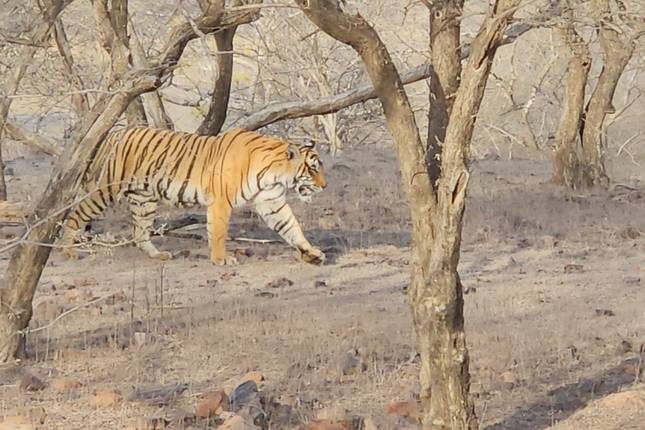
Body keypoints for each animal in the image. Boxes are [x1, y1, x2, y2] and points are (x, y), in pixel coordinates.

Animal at [59, 127, 327, 266]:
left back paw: (157, 255)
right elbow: (218, 232)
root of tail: (116, 131)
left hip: (144, 199)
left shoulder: (270, 201)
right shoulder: (221, 201)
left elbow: (291, 226)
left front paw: (311, 252)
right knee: (76, 214)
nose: (325, 186)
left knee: (139, 232)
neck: (274, 174)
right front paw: (221, 259)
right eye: (313, 169)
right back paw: (67, 250)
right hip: (105, 189)